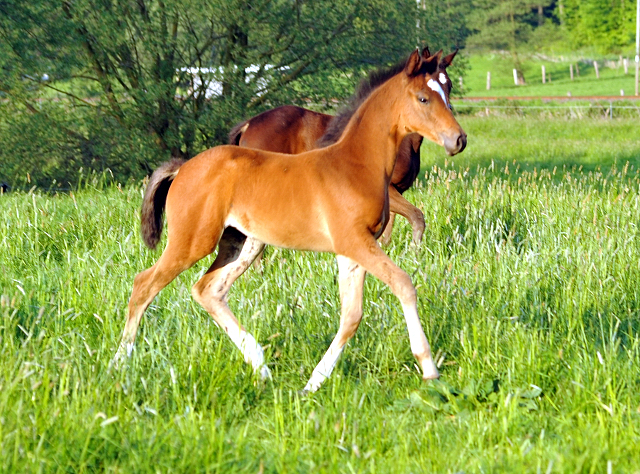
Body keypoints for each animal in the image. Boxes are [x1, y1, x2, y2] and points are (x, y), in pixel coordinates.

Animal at [114, 50, 464, 394]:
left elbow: (351, 315)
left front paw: (313, 383)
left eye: (448, 90)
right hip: (192, 241)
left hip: (243, 243)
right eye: (423, 98)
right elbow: (403, 284)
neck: (356, 164)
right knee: (143, 285)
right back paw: (118, 367)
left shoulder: (352, 251)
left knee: (207, 290)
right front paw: (429, 368)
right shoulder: (354, 242)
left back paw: (260, 365)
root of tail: (183, 167)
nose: (458, 139)